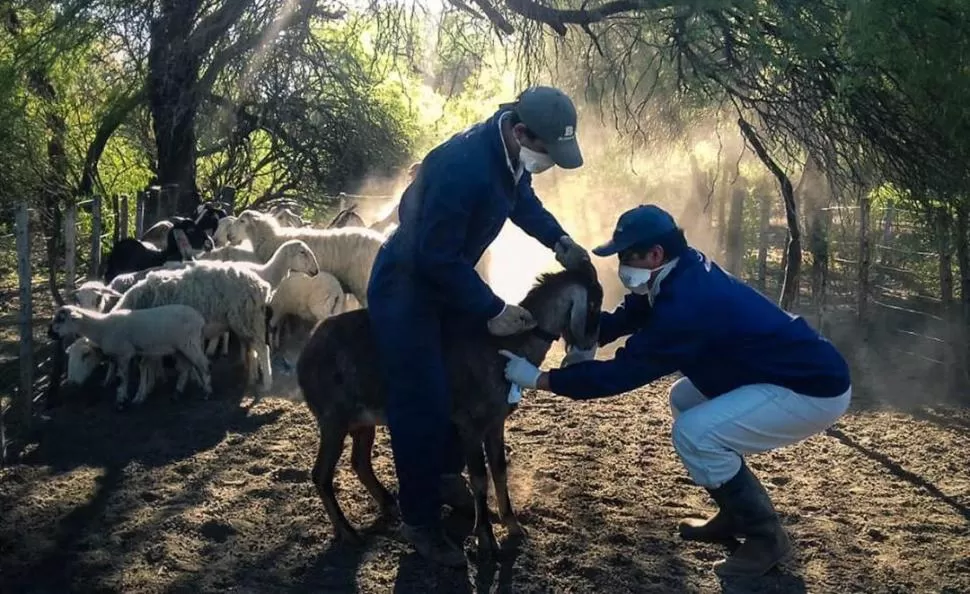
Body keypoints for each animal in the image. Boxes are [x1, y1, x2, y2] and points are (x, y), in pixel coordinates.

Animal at [49, 306, 212, 408]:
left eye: (61, 319)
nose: (49, 334)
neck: (102, 327)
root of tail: (200, 319)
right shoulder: (134, 353)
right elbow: (138, 371)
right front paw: (137, 396)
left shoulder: (124, 354)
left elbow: (122, 378)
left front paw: (121, 401)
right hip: (180, 348)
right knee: (185, 368)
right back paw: (177, 394)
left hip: (189, 343)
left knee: (203, 364)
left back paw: (207, 392)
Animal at [117, 262, 276, 390]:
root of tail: (262, 286)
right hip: (248, 322)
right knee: (252, 349)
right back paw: (252, 378)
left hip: (247, 320)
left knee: (263, 349)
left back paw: (267, 384)